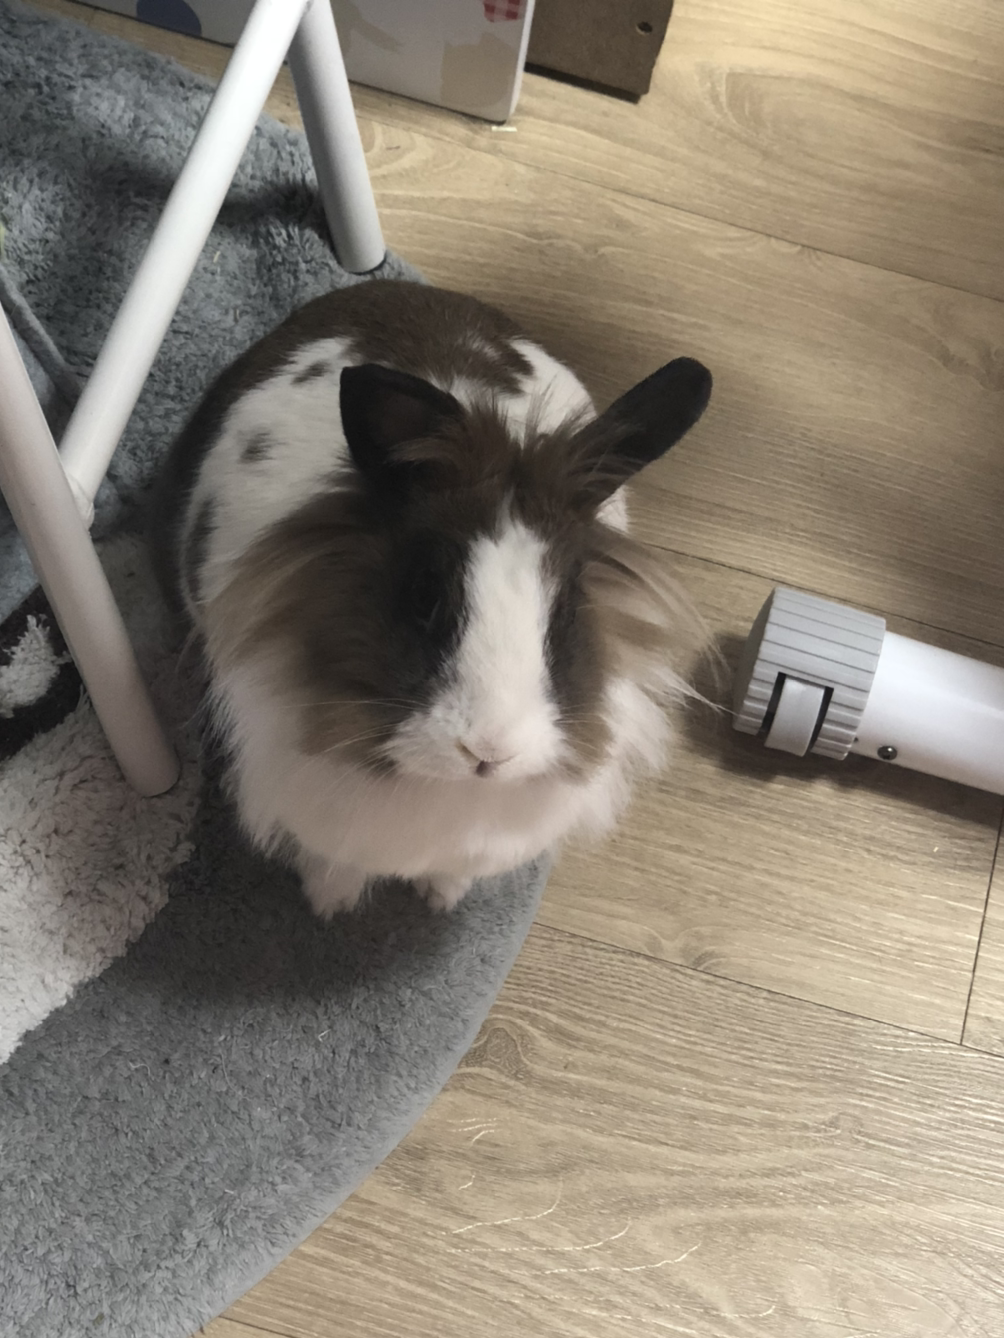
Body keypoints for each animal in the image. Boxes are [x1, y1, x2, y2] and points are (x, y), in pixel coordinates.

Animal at [153, 280, 712, 916]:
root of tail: (395, 287)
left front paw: (443, 896)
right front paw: (330, 902)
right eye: (423, 596)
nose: (489, 751)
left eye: (568, 609)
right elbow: (335, 858)